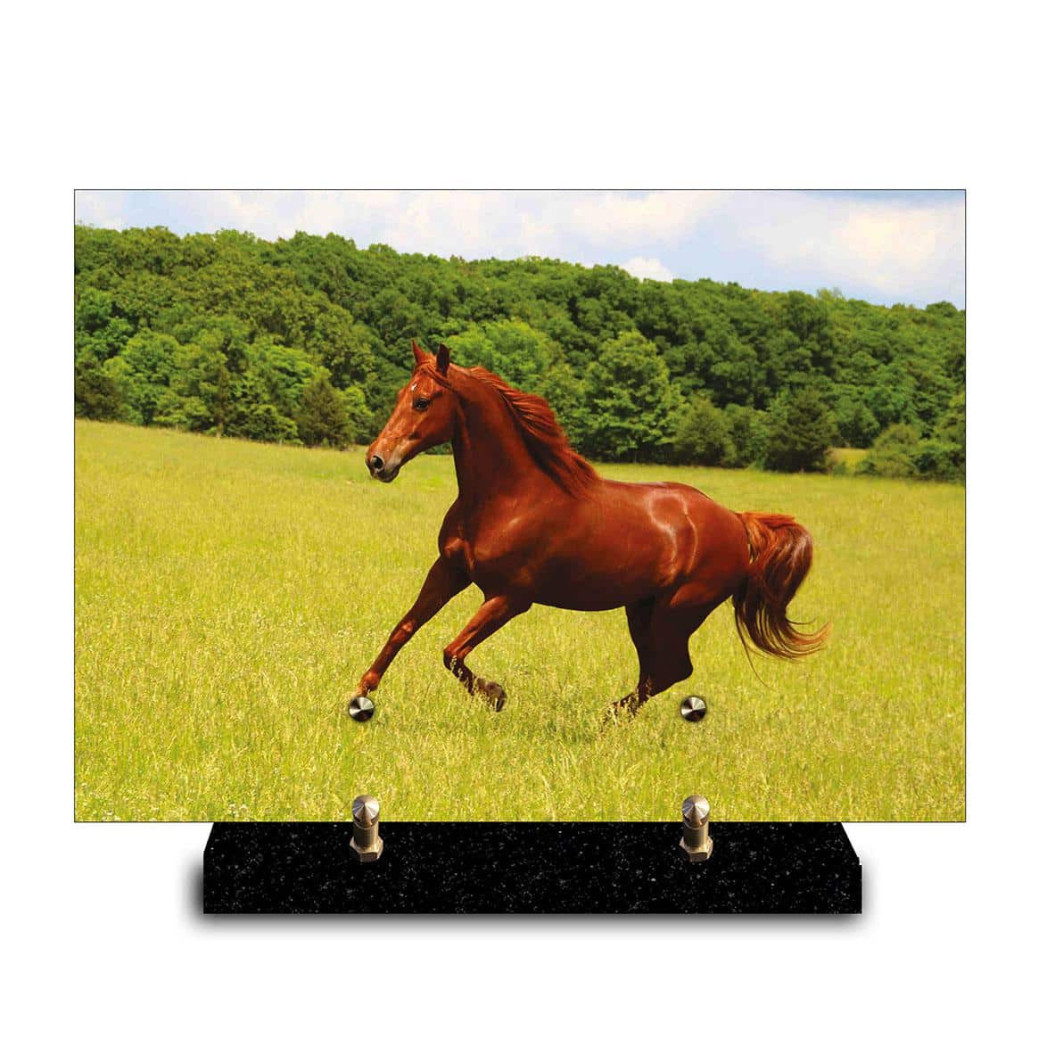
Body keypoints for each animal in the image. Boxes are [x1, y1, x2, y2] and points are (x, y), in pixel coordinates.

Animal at [355, 340, 828, 715]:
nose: (377, 461)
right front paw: (361, 693)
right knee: (659, 672)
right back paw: (610, 718)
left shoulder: (510, 597)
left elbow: (451, 652)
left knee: (671, 671)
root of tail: (736, 520)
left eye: (423, 401)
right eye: (400, 395)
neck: (509, 498)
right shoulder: (449, 570)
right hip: (642, 610)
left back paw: (606, 719)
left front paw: (496, 694)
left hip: (678, 612)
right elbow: (404, 628)